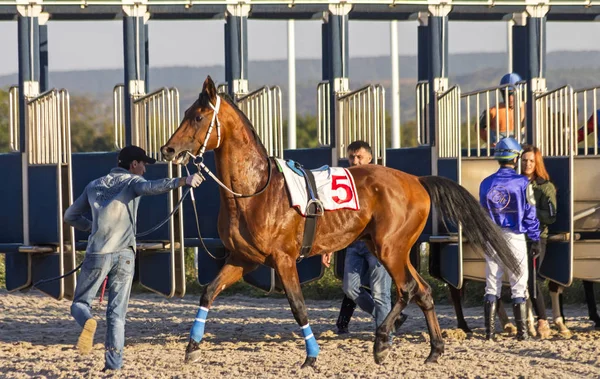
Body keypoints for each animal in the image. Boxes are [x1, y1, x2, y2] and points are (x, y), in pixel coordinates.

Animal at [159, 75, 520, 370]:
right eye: (187, 112)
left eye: (198, 116)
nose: (168, 149)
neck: (254, 191)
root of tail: (416, 180)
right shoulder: (242, 258)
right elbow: (208, 293)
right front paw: (192, 348)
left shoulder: (283, 260)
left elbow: (298, 307)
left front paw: (311, 356)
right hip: (393, 248)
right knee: (423, 290)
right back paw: (434, 349)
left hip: (390, 249)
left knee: (406, 289)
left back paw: (382, 341)